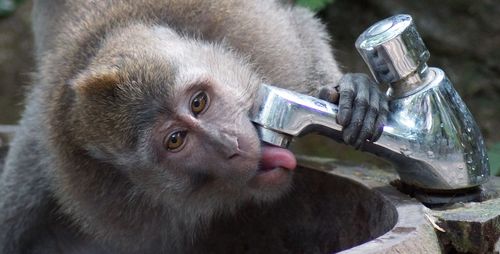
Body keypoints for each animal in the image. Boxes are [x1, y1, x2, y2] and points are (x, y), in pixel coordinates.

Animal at [0, 0, 388, 253]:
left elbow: (301, 26)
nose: (229, 144)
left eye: (198, 103)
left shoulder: (266, 43)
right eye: (175, 140)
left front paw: (346, 91)